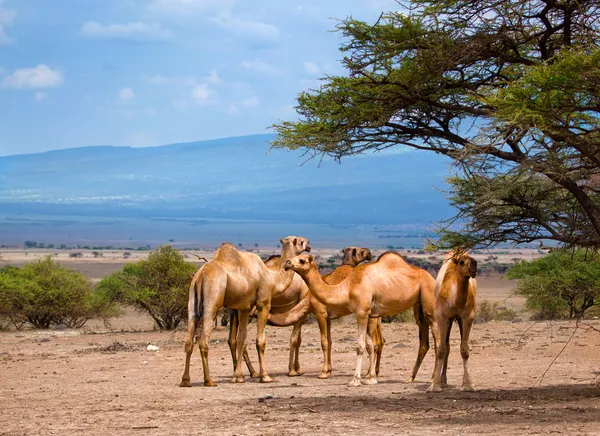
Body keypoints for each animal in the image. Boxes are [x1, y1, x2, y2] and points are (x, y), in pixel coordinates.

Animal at [178, 237, 310, 386]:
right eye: (301, 241)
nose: (309, 246)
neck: (272, 277)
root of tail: (201, 275)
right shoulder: (264, 303)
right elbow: (262, 341)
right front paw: (267, 376)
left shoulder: (244, 309)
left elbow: (241, 340)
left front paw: (238, 376)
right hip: (212, 301)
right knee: (203, 340)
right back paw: (209, 380)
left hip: (192, 303)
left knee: (190, 340)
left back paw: (186, 380)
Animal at [268, 249, 390, 378]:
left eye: (302, 260)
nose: (287, 263)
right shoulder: (328, 317)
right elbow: (329, 341)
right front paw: (329, 370)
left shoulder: (320, 313)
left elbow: (323, 342)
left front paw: (323, 372)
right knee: (379, 341)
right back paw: (374, 372)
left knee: (374, 343)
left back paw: (369, 374)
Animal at [284, 250, 438, 386]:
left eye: (302, 260)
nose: (286, 263)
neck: (347, 287)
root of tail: (432, 278)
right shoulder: (367, 314)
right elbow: (369, 345)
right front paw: (370, 378)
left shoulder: (362, 312)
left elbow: (360, 346)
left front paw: (355, 380)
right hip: (419, 307)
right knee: (424, 343)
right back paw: (411, 378)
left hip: (430, 302)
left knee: (437, 339)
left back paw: (433, 379)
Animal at [426, 250, 478, 394]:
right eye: (462, 262)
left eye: (473, 259)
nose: (474, 266)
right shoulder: (442, 316)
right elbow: (442, 349)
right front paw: (435, 385)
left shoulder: (467, 317)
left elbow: (464, 350)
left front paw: (468, 385)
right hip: (448, 320)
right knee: (447, 346)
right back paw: (443, 381)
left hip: (458, 319)